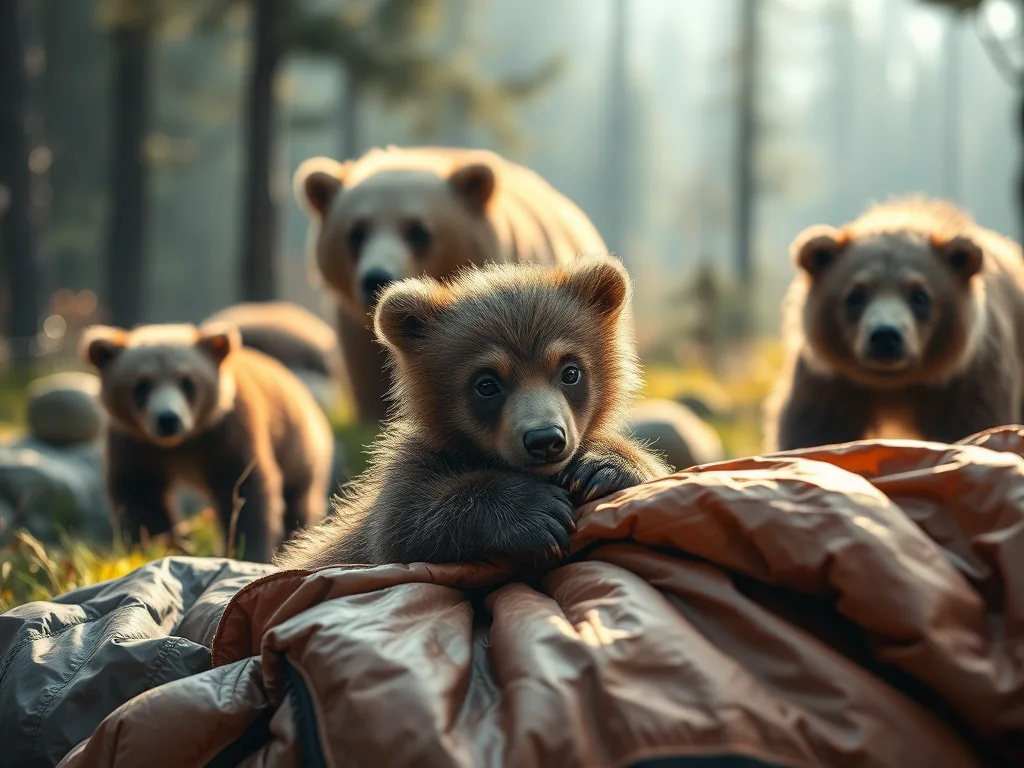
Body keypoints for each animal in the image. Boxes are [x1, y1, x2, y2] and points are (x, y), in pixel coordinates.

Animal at [80, 321, 335, 563]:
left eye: (187, 382)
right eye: (142, 385)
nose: (168, 419)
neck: (180, 444)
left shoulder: (226, 432)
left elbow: (244, 490)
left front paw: (246, 550)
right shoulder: (133, 443)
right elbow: (140, 495)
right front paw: (164, 547)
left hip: (297, 444)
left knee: (298, 499)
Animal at [273, 254, 671, 570]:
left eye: (570, 371)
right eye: (487, 383)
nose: (545, 439)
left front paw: (604, 466)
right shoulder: (413, 475)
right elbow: (403, 525)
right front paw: (537, 510)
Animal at [763, 196, 1024, 452]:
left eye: (920, 295)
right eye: (856, 295)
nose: (885, 336)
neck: (894, 384)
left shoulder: (967, 377)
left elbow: (972, 423)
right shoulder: (831, 380)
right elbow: (815, 430)